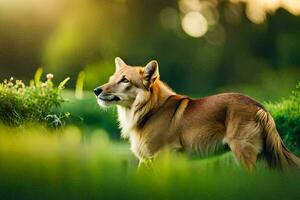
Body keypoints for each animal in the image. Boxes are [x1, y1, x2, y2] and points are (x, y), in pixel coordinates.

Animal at [94, 57, 300, 170]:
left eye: (125, 80)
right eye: (111, 79)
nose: (96, 90)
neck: (150, 109)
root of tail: (260, 107)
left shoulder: (159, 157)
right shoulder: (146, 161)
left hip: (244, 154)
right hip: (264, 157)